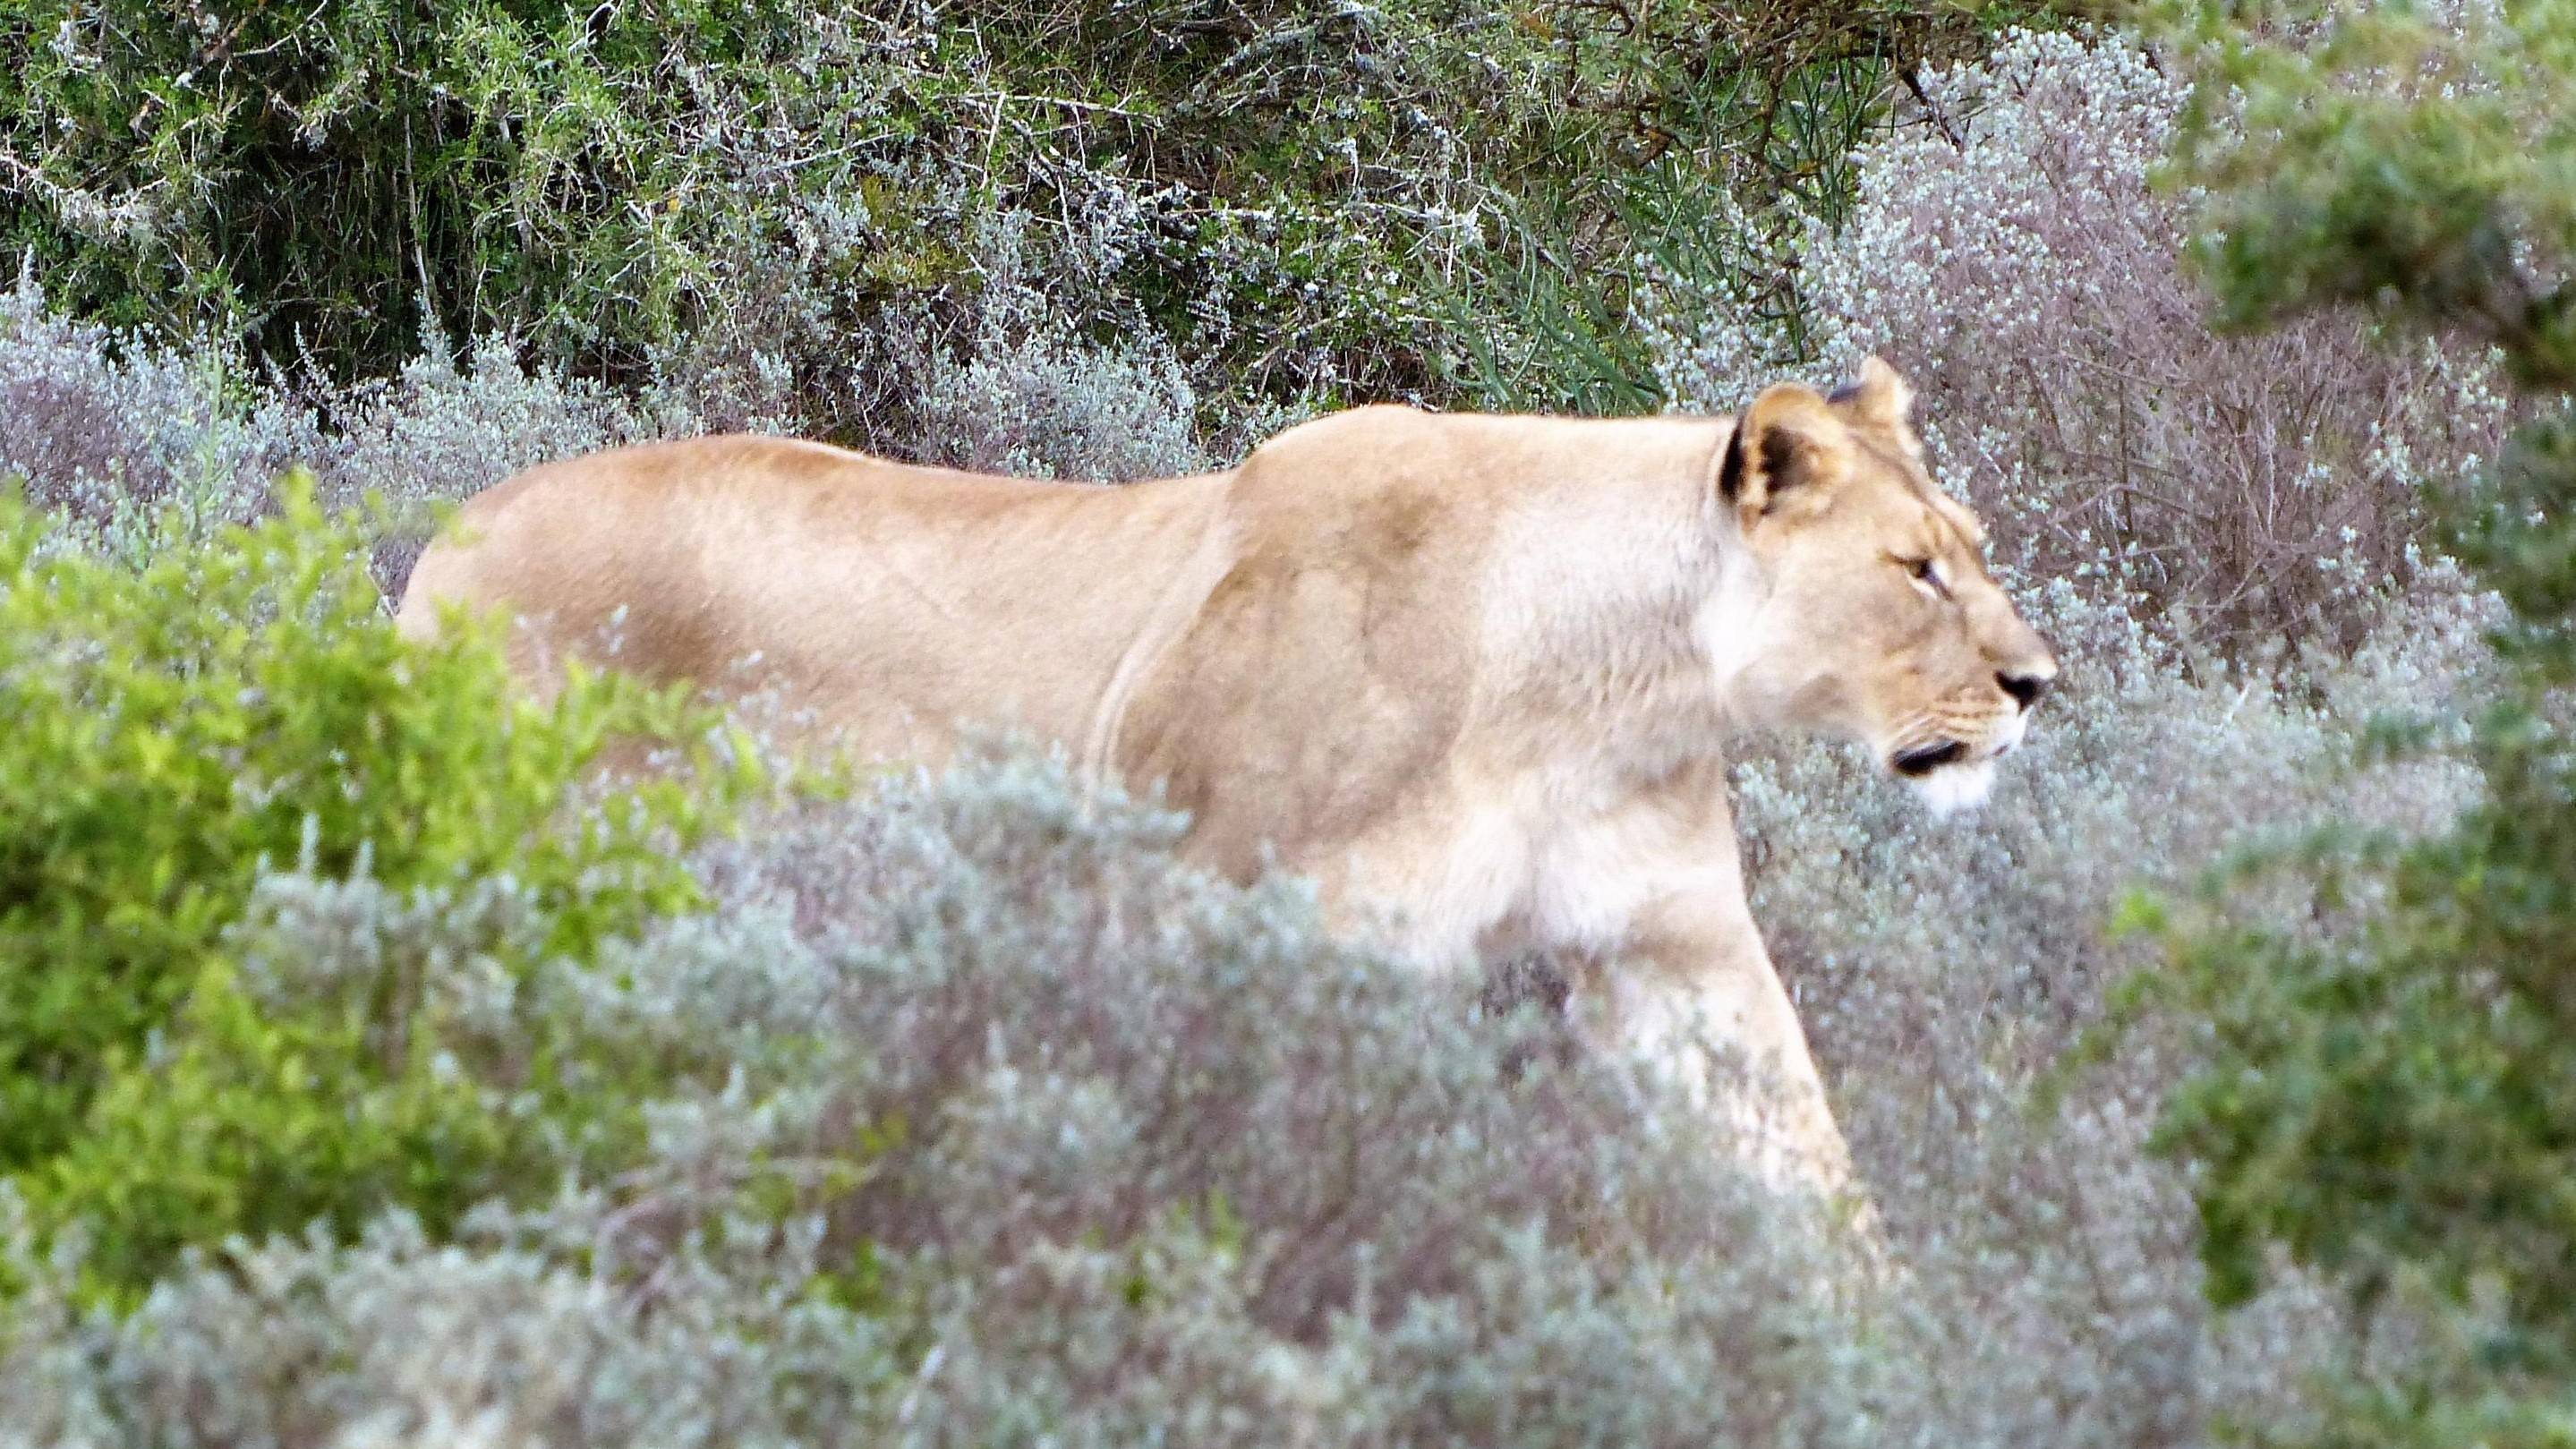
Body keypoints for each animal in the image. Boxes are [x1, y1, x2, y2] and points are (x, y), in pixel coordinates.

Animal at [397, 357, 2056, 1199]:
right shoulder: (1231, 917)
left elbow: (1804, 1166)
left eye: (1971, 544)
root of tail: (445, 539)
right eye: (1912, 569)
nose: (2036, 681)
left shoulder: (1673, 941)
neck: (1594, 685)